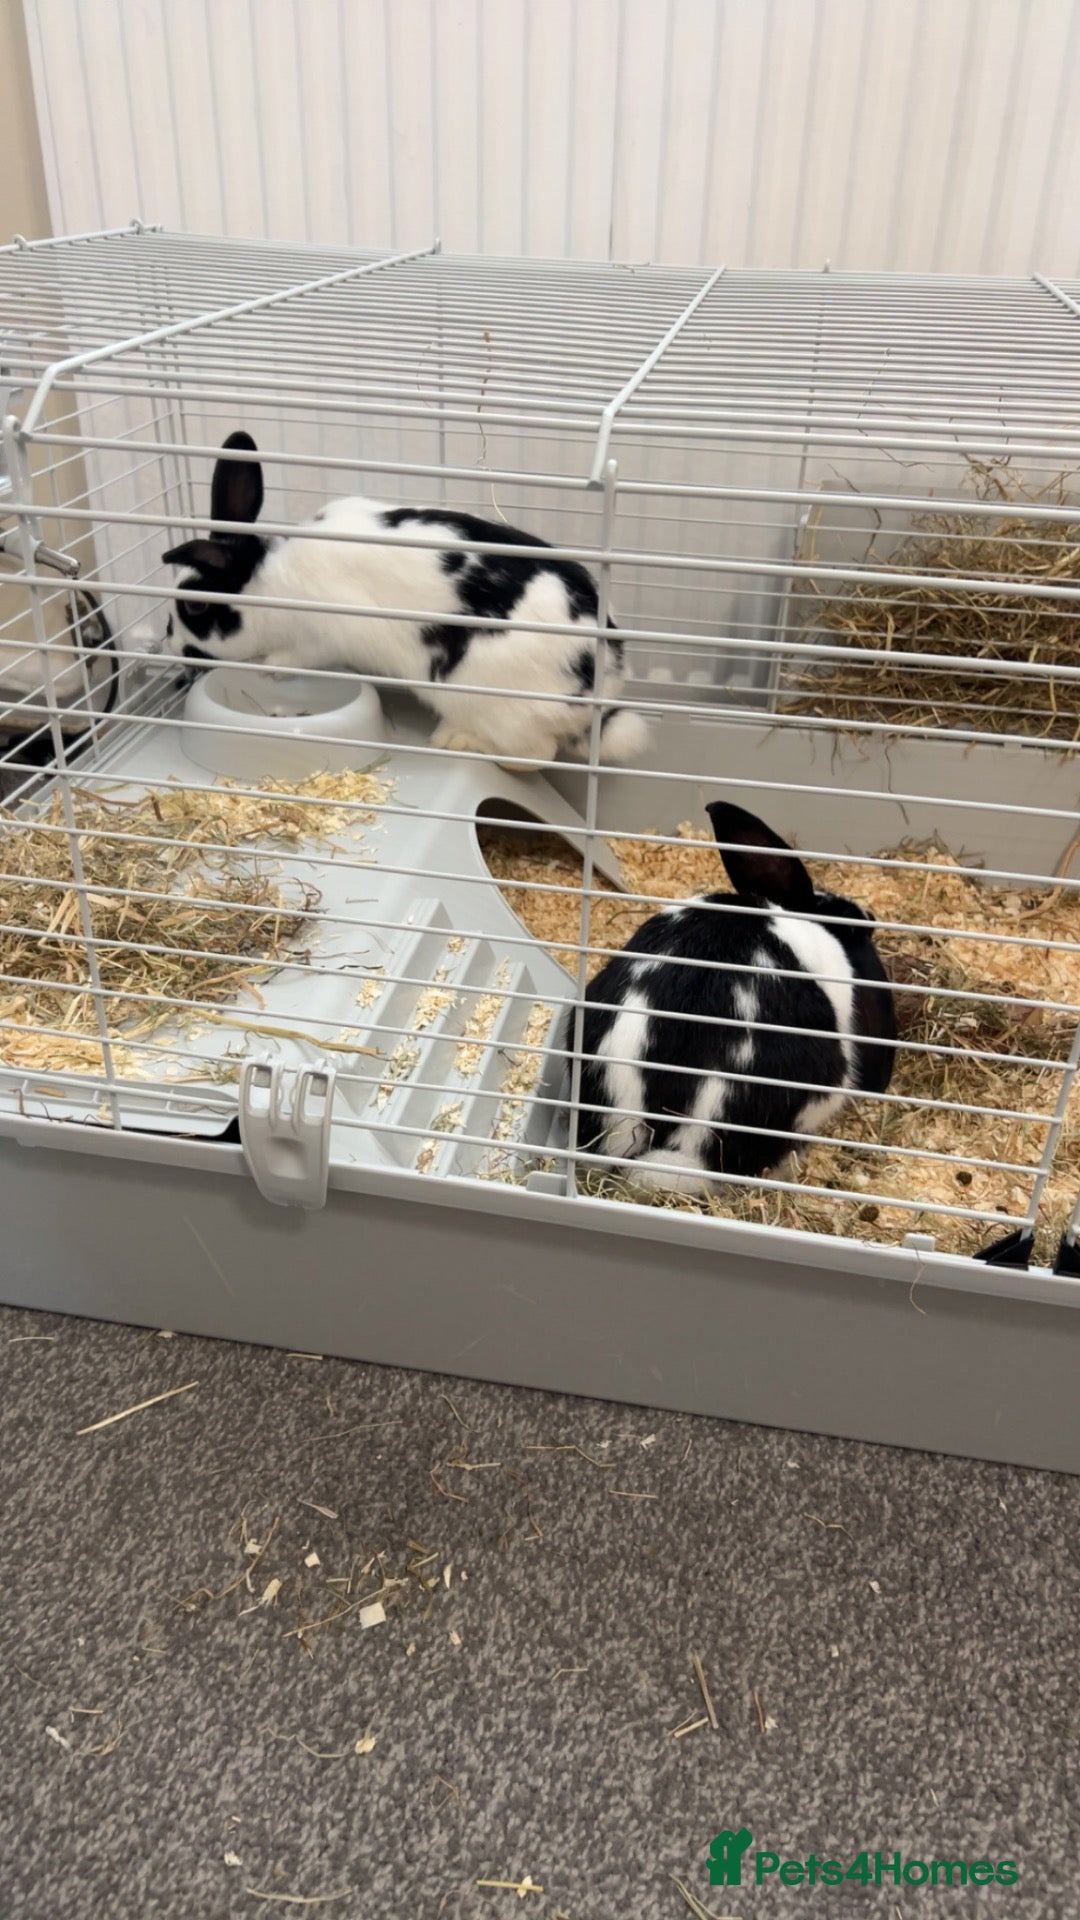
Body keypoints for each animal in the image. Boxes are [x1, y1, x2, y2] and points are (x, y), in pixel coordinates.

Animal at [162, 431, 649, 770]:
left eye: (195, 609)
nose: (173, 653)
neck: (268, 582)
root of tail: (605, 680)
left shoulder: (324, 635)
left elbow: (293, 657)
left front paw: (270, 668)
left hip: (497, 705)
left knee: (534, 754)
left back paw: (459, 741)